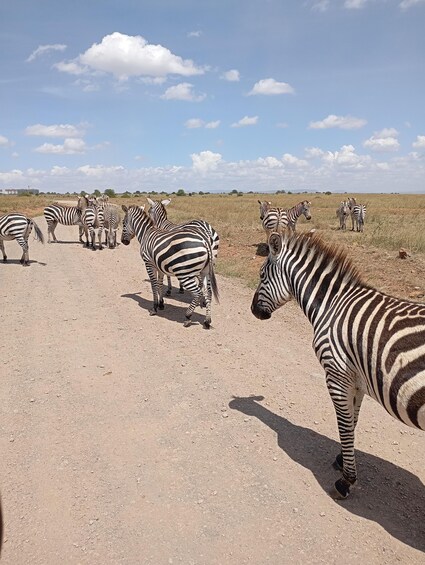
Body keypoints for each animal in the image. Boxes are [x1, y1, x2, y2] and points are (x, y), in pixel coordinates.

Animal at [252, 231, 424, 496]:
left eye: (262, 275)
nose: (253, 310)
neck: (330, 305)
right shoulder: (357, 380)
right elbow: (352, 421)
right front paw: (342, 459)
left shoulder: (336, 374)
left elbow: (344, 423)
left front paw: (347, 480)